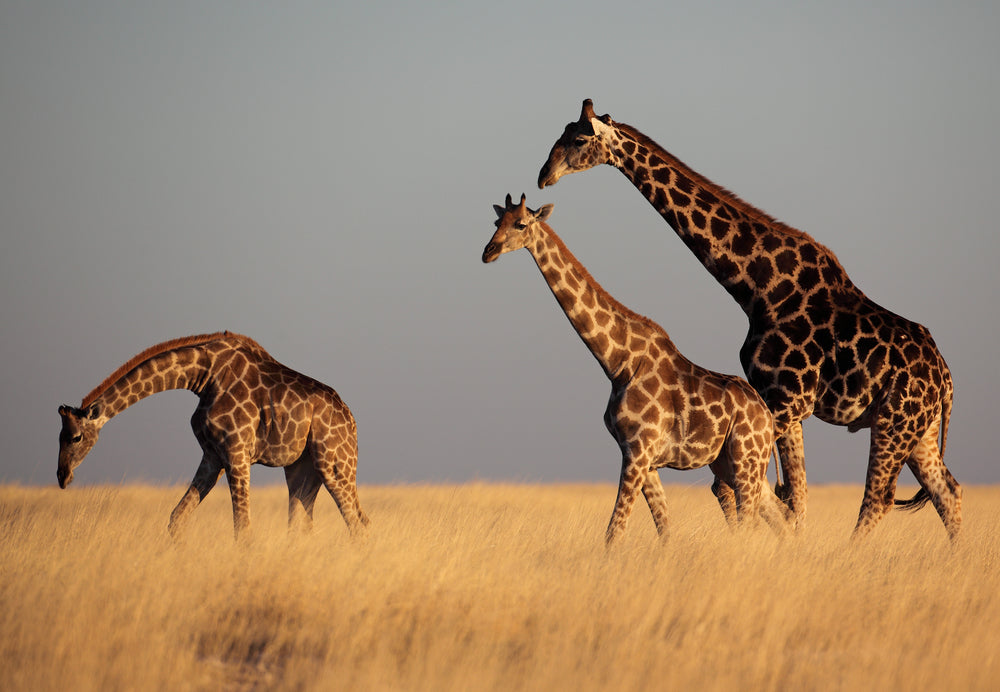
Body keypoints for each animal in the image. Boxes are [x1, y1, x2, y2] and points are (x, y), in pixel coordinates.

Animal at [57, 331, 368, 540]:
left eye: (75, 437)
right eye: (58, 436)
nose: (62, 476)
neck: (202, 376)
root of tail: (351, 421)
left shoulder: (236, 452)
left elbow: (242, 529)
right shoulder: (213, 455)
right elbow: (177, 518)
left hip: (333, 464)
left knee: (357, 524)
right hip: (301, 470)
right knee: (304, 527)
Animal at [483, 193, 787, 545]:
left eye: (520, 224)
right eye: (497, 222)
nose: (488, 251)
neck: (618, 363)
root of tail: (767, 417)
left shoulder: (637, 452)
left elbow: (614, 531)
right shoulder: (644, 458)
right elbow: (664, 529)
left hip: (746, 460)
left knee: (755, 523)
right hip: (730, 462)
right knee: (782, 517)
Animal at [537, 99, 960, 541]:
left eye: (579, 139)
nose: (543, 176)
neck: (754, 287)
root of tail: (947, 381)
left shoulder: (786, 399)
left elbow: (768, 492)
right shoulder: (782, 402)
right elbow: (785, 495)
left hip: (895, 422)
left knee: (879, 498)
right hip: (919, 430)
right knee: (947, 491)